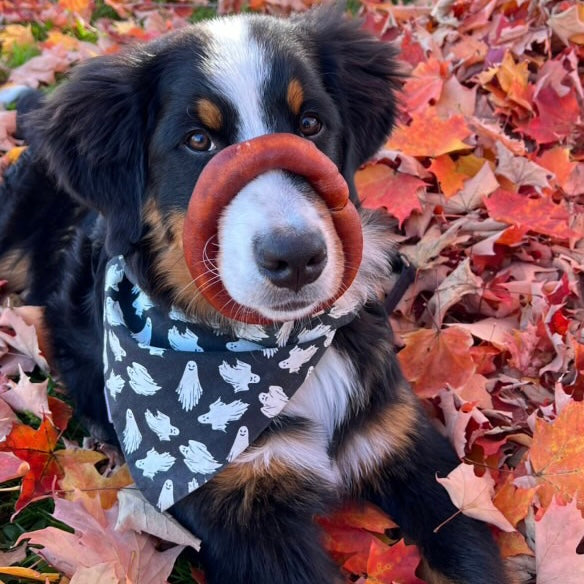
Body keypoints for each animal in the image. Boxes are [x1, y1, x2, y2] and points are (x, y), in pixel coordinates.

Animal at [0, 5, 508, 584]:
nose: (297, 257)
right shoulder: (242, 513)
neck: (272, 350)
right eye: (198, 141)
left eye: (310, 125)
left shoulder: (408, 448)